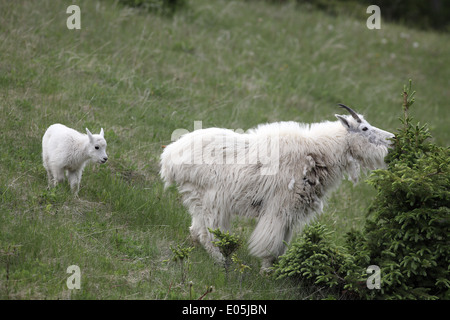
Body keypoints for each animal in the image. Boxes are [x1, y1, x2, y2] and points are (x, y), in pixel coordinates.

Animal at [159, 104, 394, 268]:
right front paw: (266, 272)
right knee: (208, 234)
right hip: (211, 199)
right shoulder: (279, 209)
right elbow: (270, 245)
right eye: (364, 128)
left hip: (198, 198)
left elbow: (282, 246)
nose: (392, 139)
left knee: (197, 229)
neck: (317, 153)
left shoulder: (291, 214)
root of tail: (169, 157)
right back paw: (223, 263)